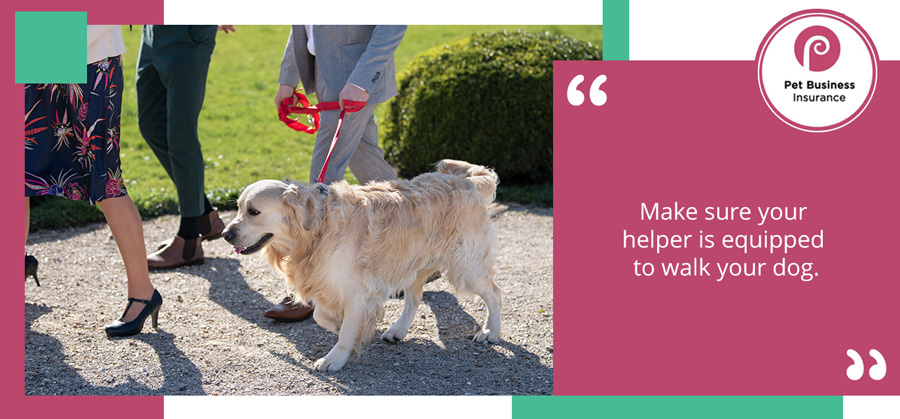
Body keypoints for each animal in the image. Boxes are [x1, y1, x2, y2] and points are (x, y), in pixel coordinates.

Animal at [221, 160, 502, 370]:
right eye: (238, 208)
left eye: (254, 211)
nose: (225, 234)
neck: (317, 230)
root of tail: (470, 182)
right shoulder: (328, 283)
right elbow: (320, 315)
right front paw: (337, 324)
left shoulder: (359, 291)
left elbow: (346, 331)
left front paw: (334, 358)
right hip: (412, 264)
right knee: (415, 298)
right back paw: (398, 330)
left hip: (466, 265)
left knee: (495, 293)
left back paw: (490, 332)